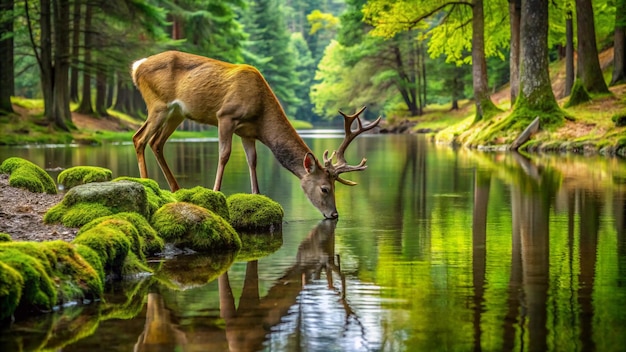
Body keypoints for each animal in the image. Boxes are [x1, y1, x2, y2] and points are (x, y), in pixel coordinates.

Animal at [129, 51, 378, 219]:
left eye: (335, 186)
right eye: (325, 188)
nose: (334, 215)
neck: (261, 115)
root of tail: (137, 66)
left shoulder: (247, 132)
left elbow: (253, 160)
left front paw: (257, 194)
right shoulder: (225, 116)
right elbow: (224, 155)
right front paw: (216, 191)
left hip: (177, 113)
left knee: (156, 142)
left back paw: (176, 188)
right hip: (158, 104)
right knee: (139, 138)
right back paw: (146, 182)